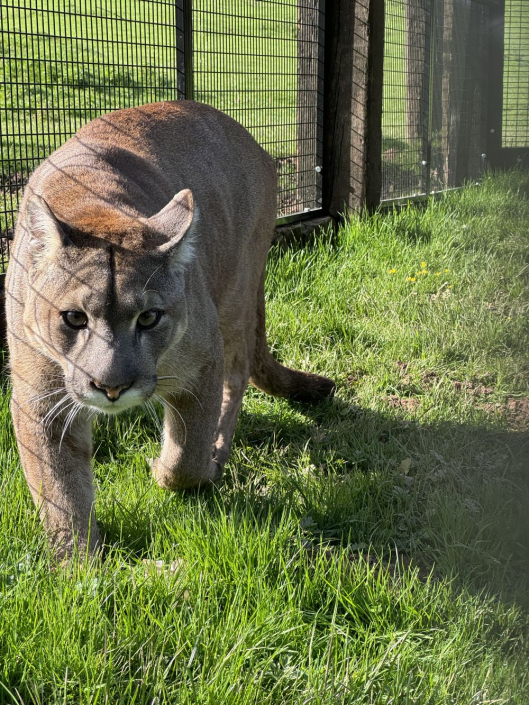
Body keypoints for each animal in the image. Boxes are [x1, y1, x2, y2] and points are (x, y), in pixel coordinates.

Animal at [5, 100, 334, 560]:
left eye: (149, 318)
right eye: (74, 318)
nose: (111, 387)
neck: (92, 202)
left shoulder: (201, 361)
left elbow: (186, 457)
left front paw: (172, 469)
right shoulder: (41, 397)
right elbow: (60, 491)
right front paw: (80, 565)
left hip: (236, 295)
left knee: (238, 375)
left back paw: (219, 449)